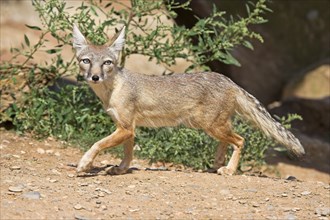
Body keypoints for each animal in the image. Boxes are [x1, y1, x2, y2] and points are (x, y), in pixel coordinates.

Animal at [73, 24, 306, 175]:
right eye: (86, 61)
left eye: (107, 63)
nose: (95, 77)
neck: (112, 89)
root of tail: (229, 81)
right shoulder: (127, 128)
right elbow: (127, 152)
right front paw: (121, 169)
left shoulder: (125, 128)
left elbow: (98, 144)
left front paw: (85, 163)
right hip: (210, 126)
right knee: (227, 141)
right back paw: (216, 164)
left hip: (211, 125)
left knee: (240, 140)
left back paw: (229, 170)